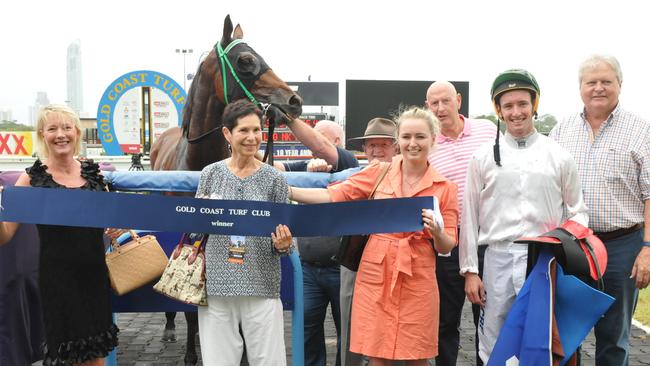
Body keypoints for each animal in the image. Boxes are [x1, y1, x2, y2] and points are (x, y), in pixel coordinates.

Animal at [150, 13, 304, 364]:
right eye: (245, 60)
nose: (294, 100)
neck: (195, 161)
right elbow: (191, 308)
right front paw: (191, 354)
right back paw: (169, 327)